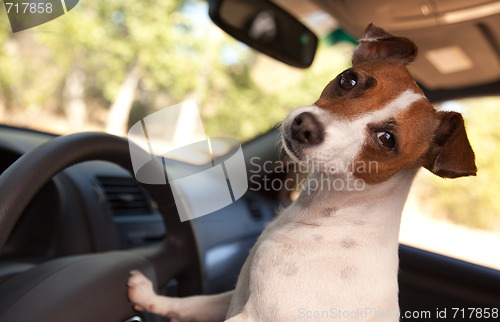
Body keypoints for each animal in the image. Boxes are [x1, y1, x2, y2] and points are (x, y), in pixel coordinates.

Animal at [126, 23, 476, 320]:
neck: (329, 215)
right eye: (348, 79)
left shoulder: (255, 317)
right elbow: (192, 303)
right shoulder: (236, 294)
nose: (305, 126)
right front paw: (151, 297)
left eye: (387, 139)